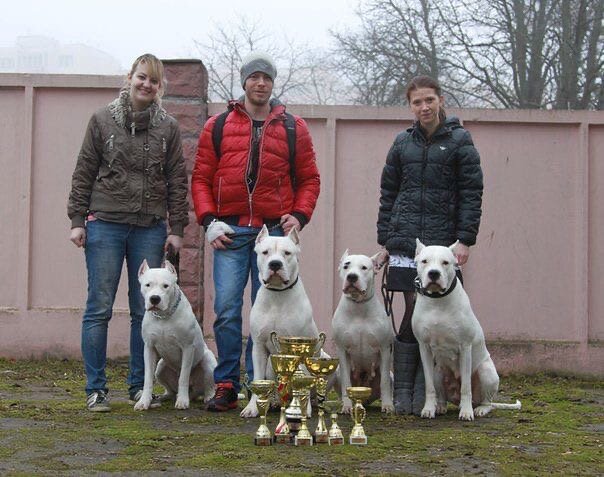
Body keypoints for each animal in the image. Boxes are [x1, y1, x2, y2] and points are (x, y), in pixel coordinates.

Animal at [135, 260, 217, 410]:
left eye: (166, 286)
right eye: (147, 285)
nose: (154, 299)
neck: (163, 316)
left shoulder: (187, 348)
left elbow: (183, 377)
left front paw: (182, 401)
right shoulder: (149, 348)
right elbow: (148, 379)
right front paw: (144, 401)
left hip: (208, 362)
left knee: (209, 385)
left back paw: (208, 397)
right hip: (160, 367)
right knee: (170, 390)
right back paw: (164, 396)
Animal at [330, 249, 396, 412]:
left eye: (364, 268)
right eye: (346, 266)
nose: (352, 276)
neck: (358, 307)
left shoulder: (384, 349)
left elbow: (384, 382)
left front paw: (387, 405)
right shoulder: (342, 350)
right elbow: (346, 382)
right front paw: (347, 406)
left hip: (391, 374)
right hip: (337, 373)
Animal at [412, 240, 520, 418]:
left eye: (445, 262)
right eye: (424, 261)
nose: (433, 274)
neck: (437, 301)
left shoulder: (465, 347)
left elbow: (466, 388)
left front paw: (466, 412)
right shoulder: (424, 348)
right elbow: (429, 386)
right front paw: (428, 409)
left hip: (486, 372)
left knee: (486, 401)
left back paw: (479, 409)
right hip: (438, 371)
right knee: (441, 393)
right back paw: (440, 406)